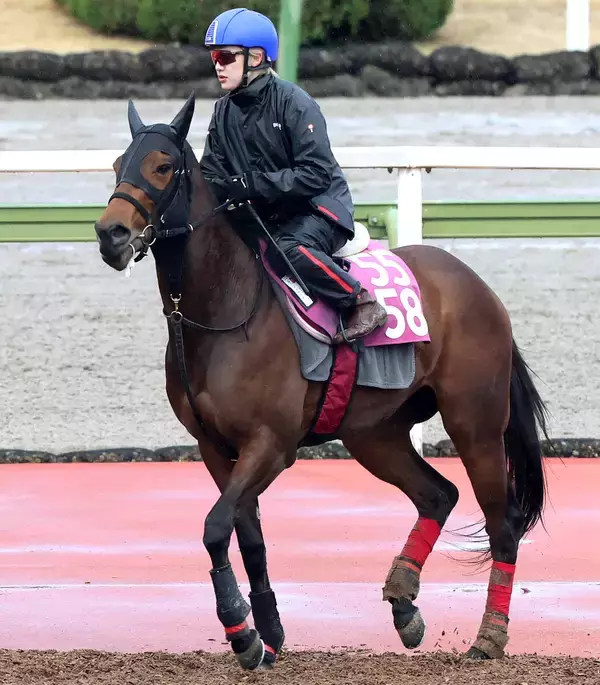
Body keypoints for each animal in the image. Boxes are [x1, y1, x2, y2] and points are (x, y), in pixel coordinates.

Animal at [93, 93, 550, 671]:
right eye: (117, 165)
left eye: (162, 165)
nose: (110, 234)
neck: (226, 310)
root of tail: (479, 287)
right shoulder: (215, 448)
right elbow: (247, 536)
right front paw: (267, 631)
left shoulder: (271, 445)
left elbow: (216, 527)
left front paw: (241, 632)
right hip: (374, 433)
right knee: (438, 494)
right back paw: (404, 603)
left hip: (476, 424)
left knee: (503, 523)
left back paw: (488, 637)